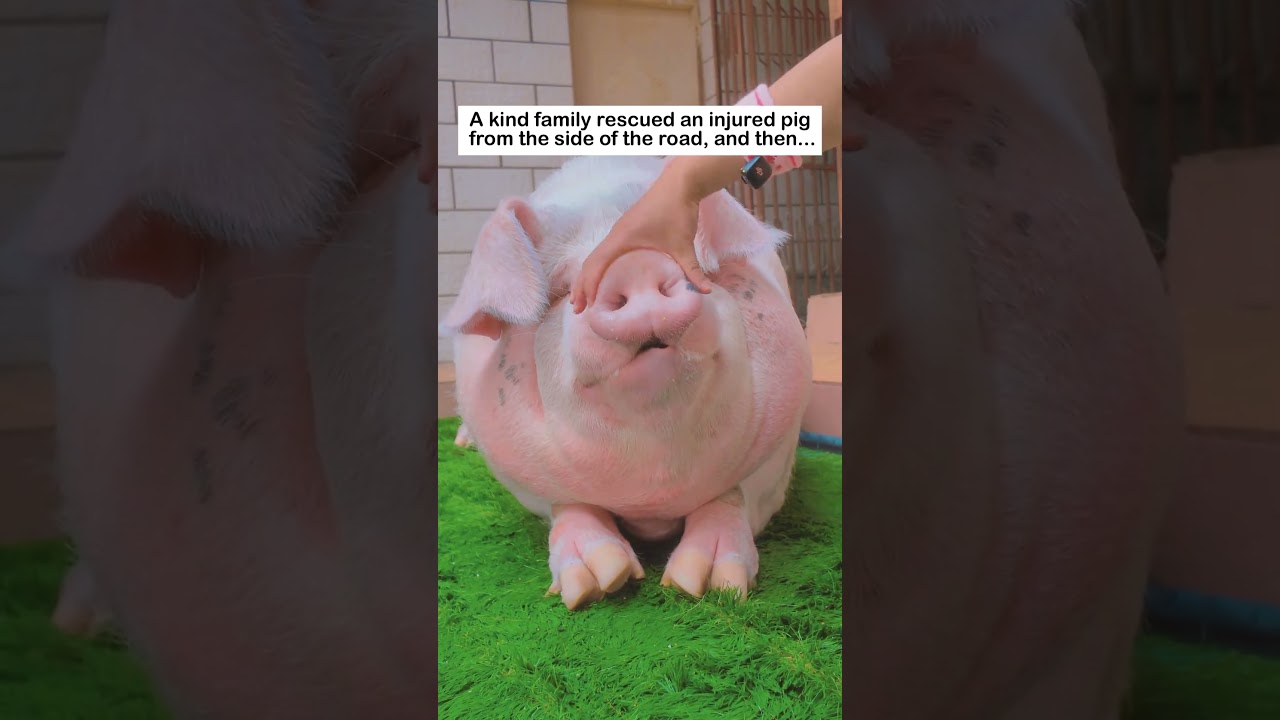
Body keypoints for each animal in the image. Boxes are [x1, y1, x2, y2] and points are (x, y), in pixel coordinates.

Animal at [440, 155, 813, 610]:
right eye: (563, 290)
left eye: (685, 255)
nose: (633, 262)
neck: (652, 494)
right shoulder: (523, 477)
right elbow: (569, 507)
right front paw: (596, 585)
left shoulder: (778, 455)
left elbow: (733, 496)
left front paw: (709, 586)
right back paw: (461, 443)